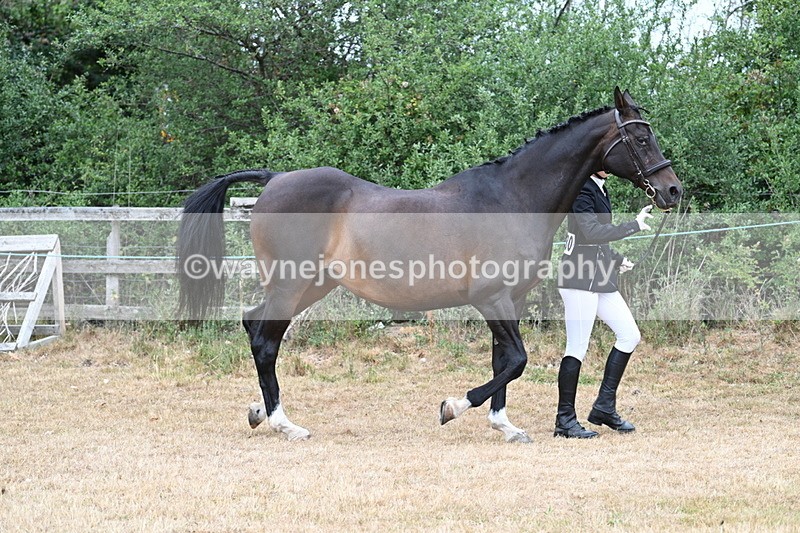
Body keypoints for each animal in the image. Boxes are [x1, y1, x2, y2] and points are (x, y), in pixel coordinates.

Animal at [177, 87, 682, 442]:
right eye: (641, 137)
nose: (672, 191)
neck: (512, 198)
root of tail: (275, 178)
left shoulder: (509, 299)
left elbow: (504, 360)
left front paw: (505, 426)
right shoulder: (491, 298)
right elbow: (517, 360)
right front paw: (453, 406)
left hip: (310, 285)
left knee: (255, 327)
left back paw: (259, 411)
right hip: (290, 284)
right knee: (265, 341)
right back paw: (285, 424)